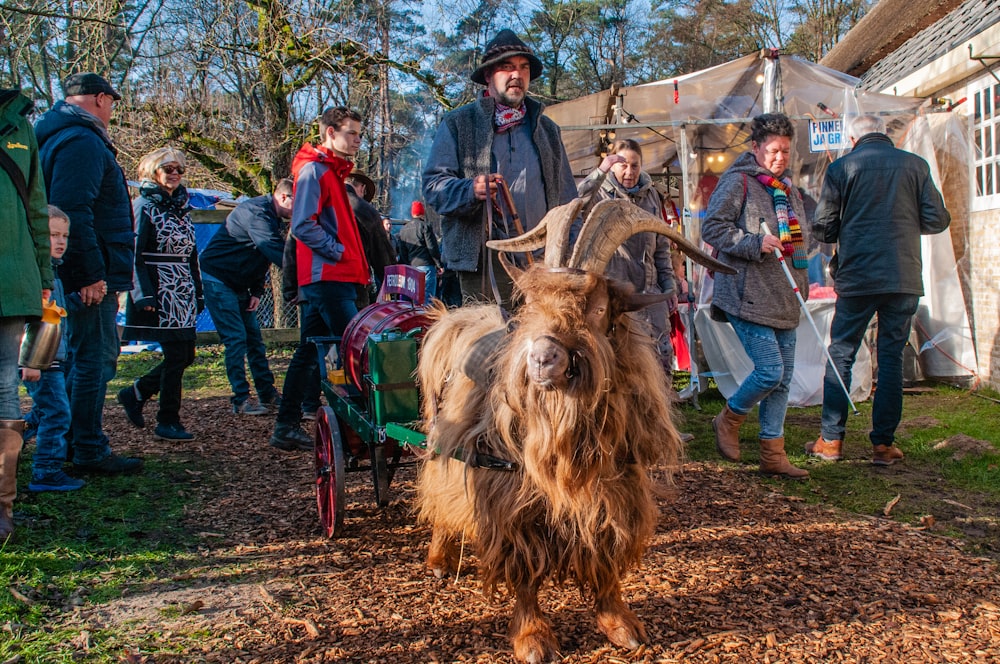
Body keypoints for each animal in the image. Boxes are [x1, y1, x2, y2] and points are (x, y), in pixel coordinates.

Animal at [414, 198, 736, 664]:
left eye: (598, 308)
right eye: (531, 304)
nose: (542, 358)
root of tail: (453, 318)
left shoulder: (618, 490)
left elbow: (607, 555)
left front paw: (620, 624)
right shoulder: (510, 496)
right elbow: (522, 568)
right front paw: (532, 638)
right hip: (444, 438)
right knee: (439, 484)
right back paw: (439, 558)